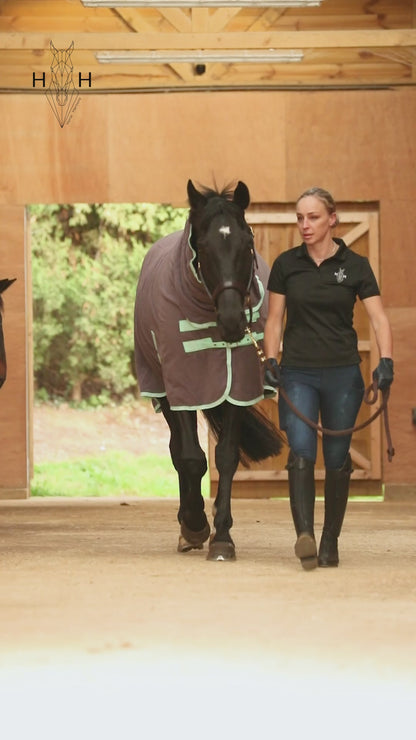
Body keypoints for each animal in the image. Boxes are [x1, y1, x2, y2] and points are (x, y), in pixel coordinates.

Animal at [135, 181, 284, 560]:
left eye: (247, 243)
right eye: (202, 246)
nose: (232, 321)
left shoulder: (235, 388)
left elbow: (226, 457)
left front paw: (222, 537)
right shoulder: (182, 387)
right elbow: (191, 458)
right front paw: (194, 525)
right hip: (162, 392)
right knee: (177, 451)